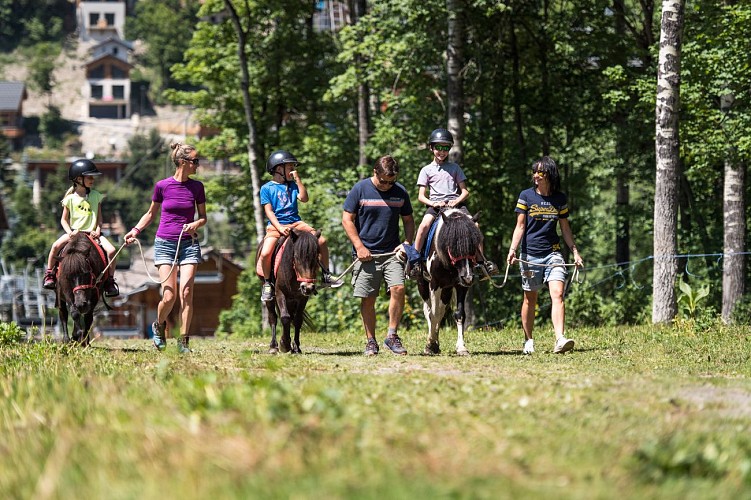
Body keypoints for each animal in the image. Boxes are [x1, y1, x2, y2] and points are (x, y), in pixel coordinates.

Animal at [416, 208, 483, 356]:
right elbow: (433, 314)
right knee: (429, 311)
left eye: (474, 246)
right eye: (453, 246)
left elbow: (460, 314)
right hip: (423, 285)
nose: (468, 277)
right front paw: (430, 345)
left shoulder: (460, 285)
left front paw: (461, 347)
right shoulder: (435, 284)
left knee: (441, 311)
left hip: (446, 289)